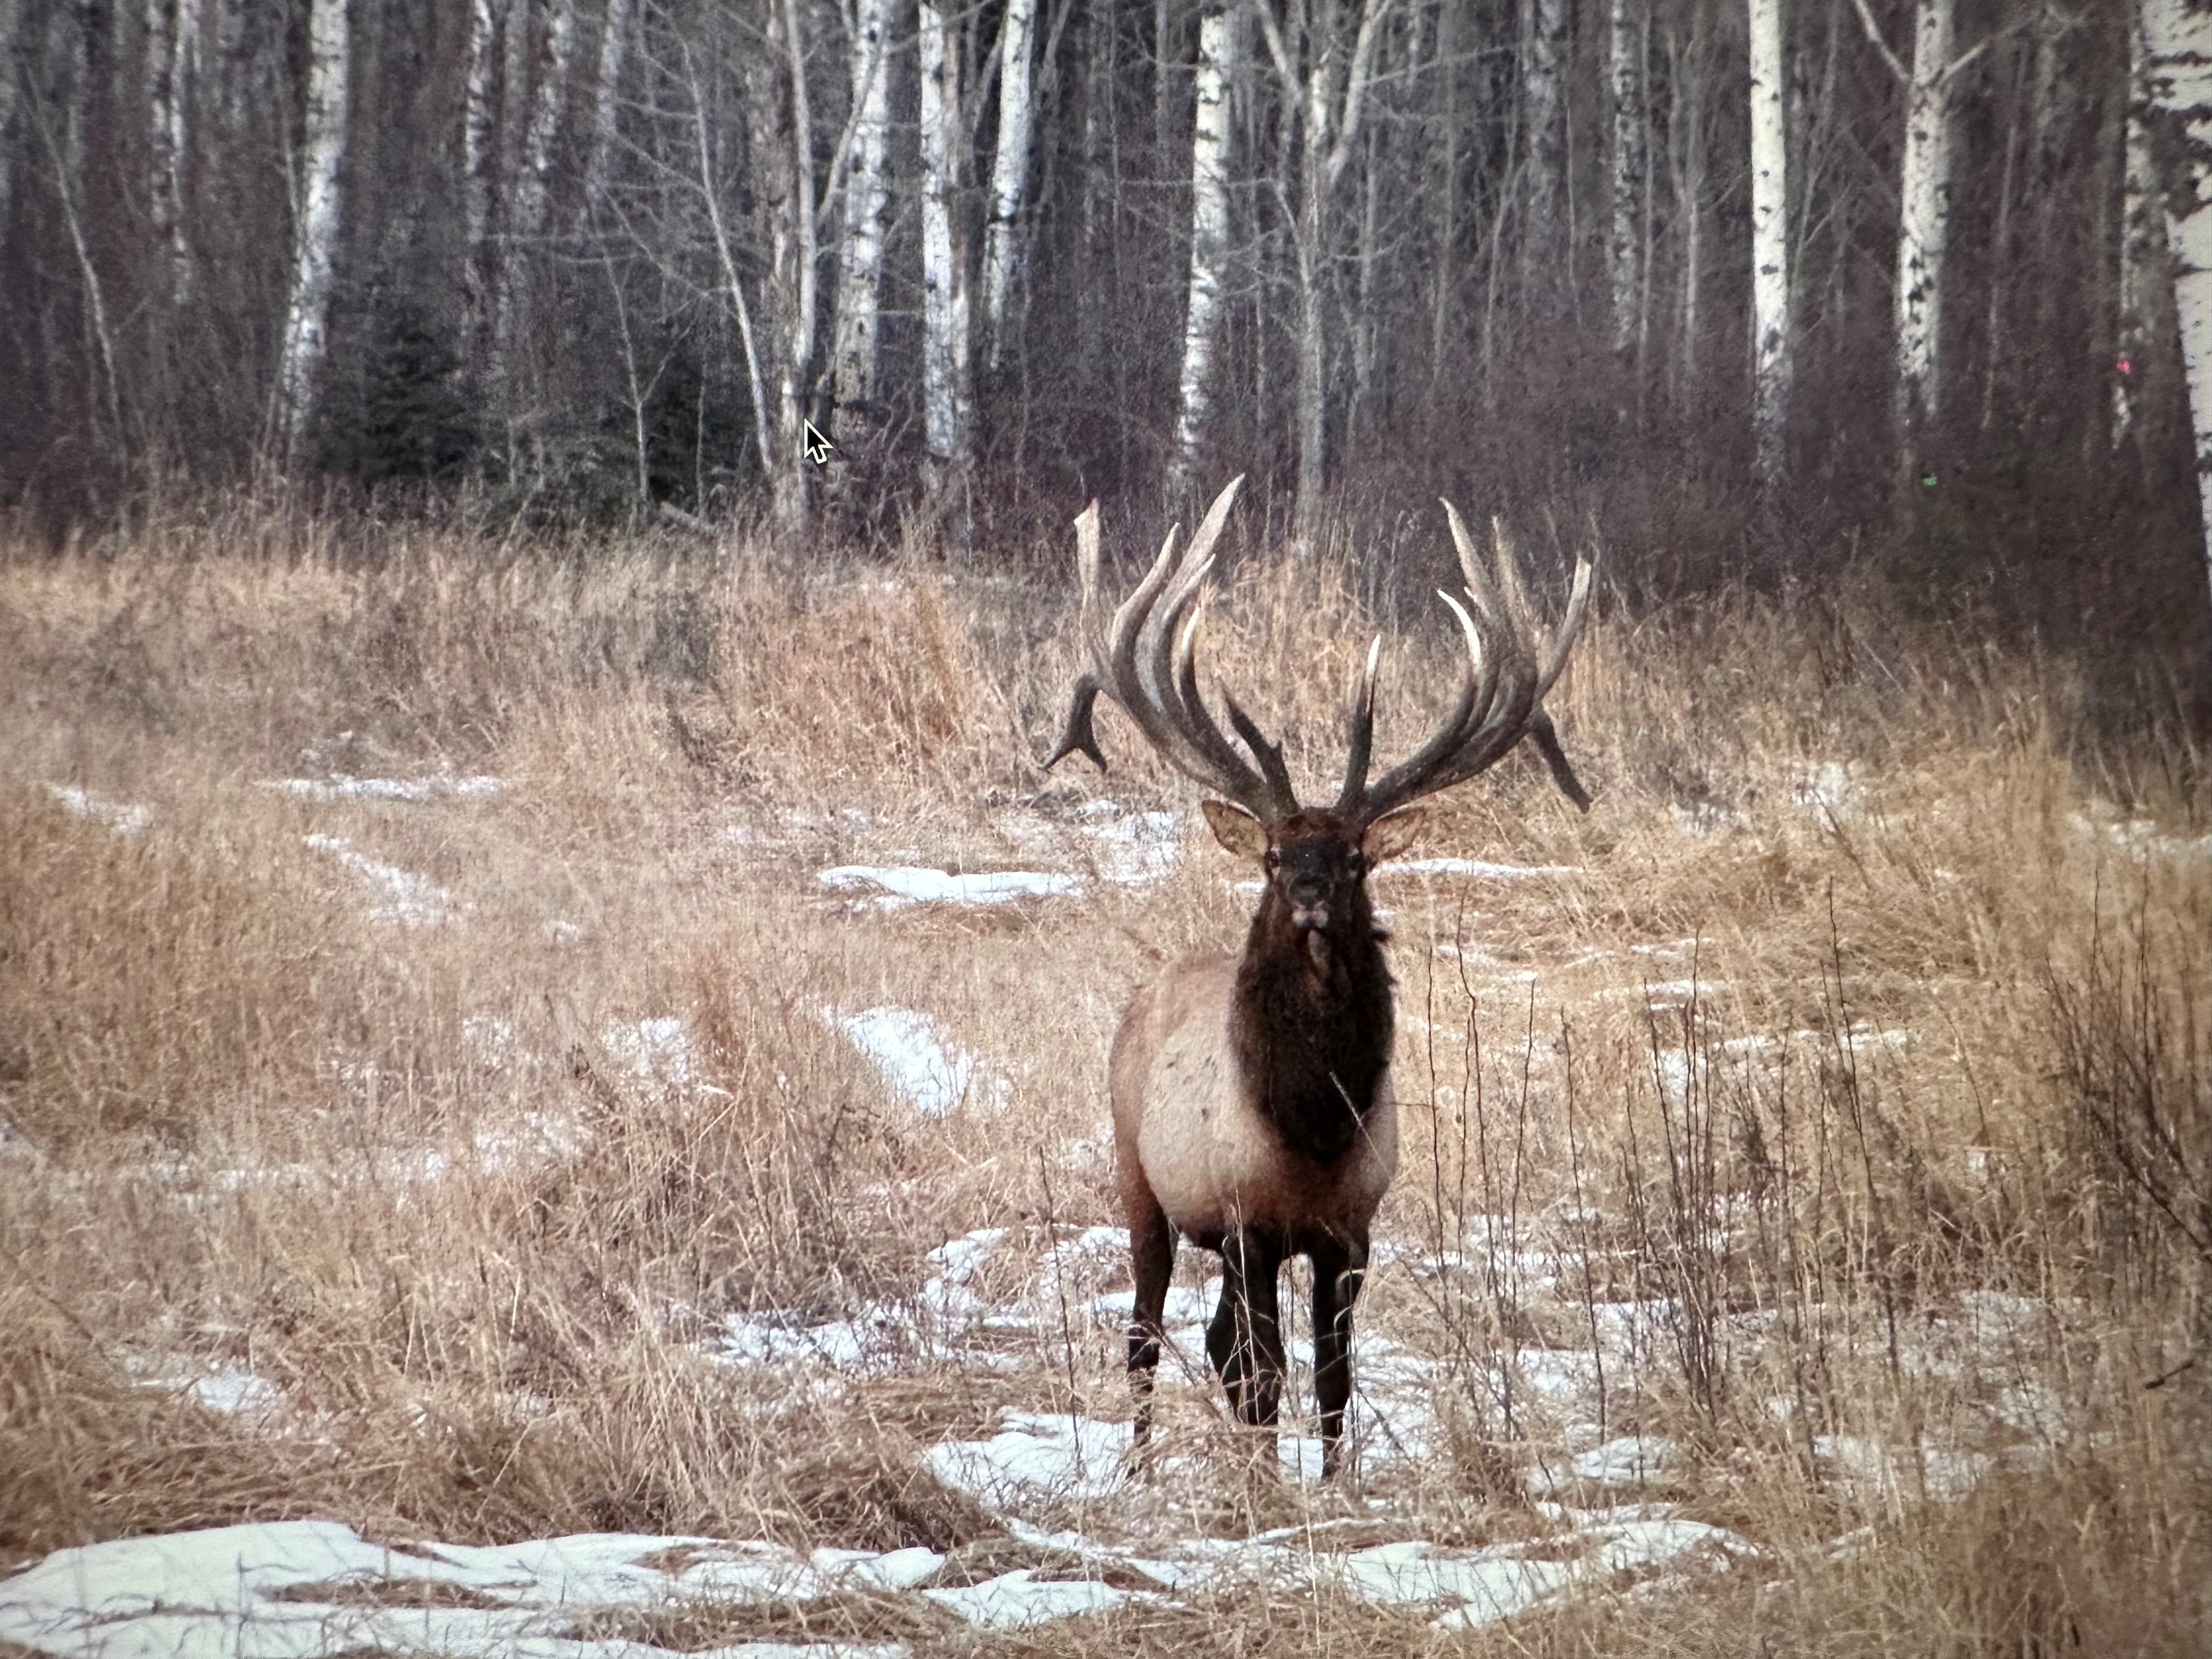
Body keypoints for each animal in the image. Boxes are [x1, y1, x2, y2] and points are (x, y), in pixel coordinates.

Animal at [1043, 476, 1596, 1481]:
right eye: (1271, 855)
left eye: (1352, 858)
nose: (1306, 894)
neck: (1309, 1129)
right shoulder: (1248, 1219)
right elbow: (1266, 1370)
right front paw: (1267, 1487)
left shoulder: (1352, 1228)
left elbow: (1333, 1374)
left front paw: (1335, 1484)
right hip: (1140, 1178)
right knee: (1145, 1331)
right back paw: (1138, 1467)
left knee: (1214, 1340)